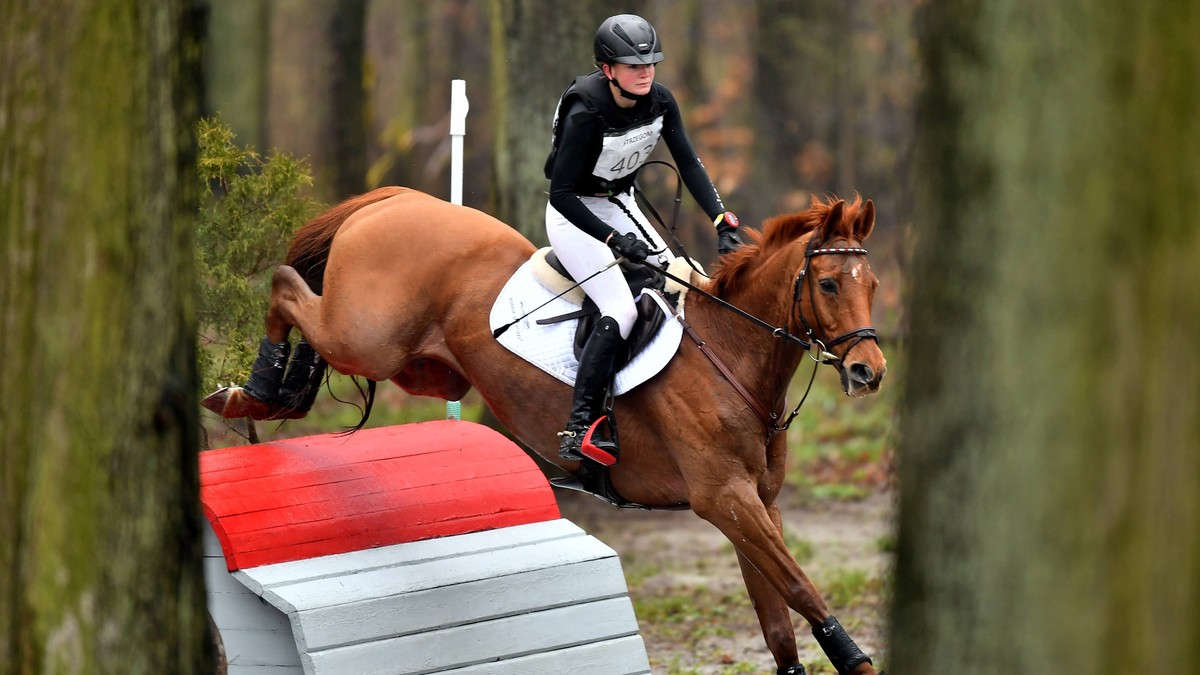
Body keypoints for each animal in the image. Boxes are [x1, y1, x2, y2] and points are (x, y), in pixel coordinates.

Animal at [201, 184, 888, 672]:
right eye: (829, 283)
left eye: (874, 284)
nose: (869, 371)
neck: (730, 352)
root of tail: (399, 199)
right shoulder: (724, 499)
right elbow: (802, 590)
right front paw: (856, 660)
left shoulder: (757, 504)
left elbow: (778, 623)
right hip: (367, 335)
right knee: (287, 286)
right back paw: (251, 392)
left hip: (420, 369)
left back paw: (274, 394)